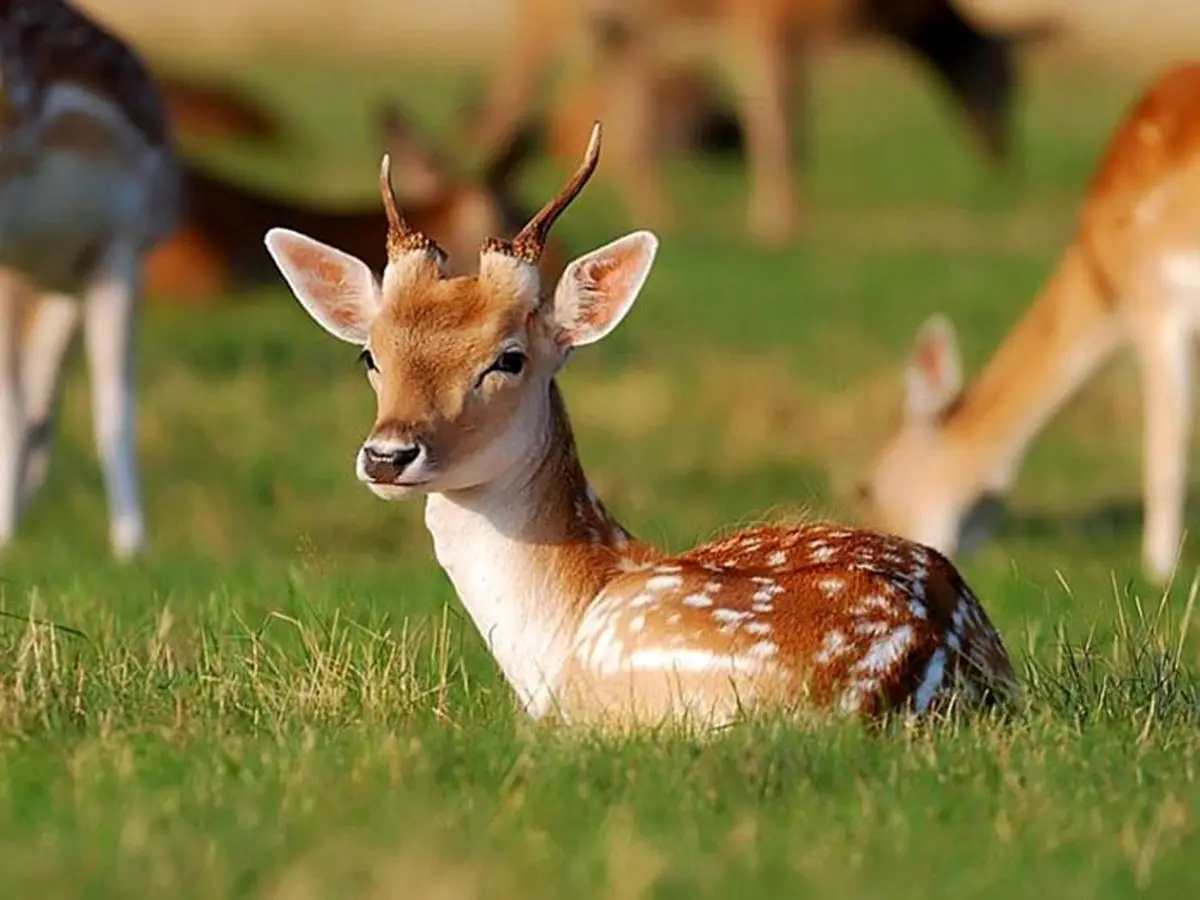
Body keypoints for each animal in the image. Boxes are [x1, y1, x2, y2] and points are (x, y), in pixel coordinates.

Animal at [472, 0, 1056, 244]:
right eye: (1007, 78)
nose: (1003, 153)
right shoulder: (764, 23)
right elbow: (779, 123)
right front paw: (778, 221)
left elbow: (789, 126)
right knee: (504, 104)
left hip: (618, 29)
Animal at [859, 65, 1200, 592]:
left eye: (868, 488)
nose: (883, 546)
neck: (1102, 282)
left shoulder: (1157, 303)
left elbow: (1166, 442)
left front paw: (1159, 571)